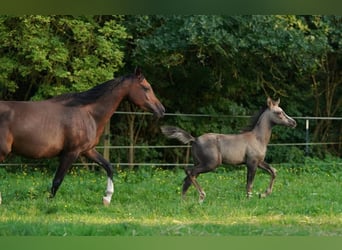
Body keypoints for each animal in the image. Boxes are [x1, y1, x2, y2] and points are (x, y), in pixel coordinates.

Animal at [0, 68, 166, 205]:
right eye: (146, 87)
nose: (162, 110)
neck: (88, 113)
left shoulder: (87, 150)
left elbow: (108, 166)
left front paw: (107, 198)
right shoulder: (71, 153)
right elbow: (57, 180)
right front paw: (47, 203)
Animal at [161, 97, 296, 203]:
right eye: (279, 112)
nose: (293, 122)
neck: (258, 138)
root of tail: (194, 139)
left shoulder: (259, 162)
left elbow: (273, 171)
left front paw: (262, 194)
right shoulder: (251, 163)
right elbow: (249, 184)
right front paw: (250, 199)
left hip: (200, 163)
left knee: (188, 178)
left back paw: (184, 201)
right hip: (211, 164)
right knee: (189, 172)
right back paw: (201, 196)